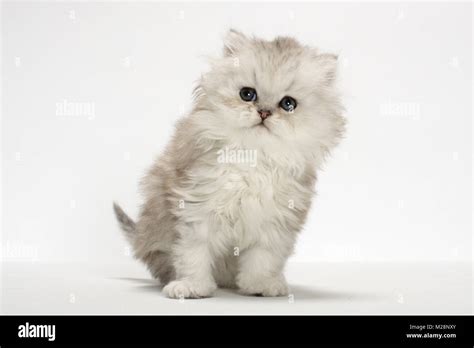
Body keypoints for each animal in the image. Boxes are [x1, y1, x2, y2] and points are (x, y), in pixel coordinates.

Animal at [114, 29, 344, 300]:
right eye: (247, 94)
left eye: (288, 104)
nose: (264, 112)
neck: (252, 159)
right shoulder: (196, 211)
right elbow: (193, 255)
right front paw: (192, 287)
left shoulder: (274, 223)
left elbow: (262, 260)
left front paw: (260, 285)